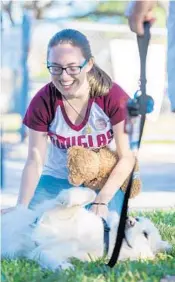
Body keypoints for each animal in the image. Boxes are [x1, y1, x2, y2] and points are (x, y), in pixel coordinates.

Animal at [1, 186, 171, 270]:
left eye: (145, 234)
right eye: (137, 219)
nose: (130, 220)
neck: (103, 237)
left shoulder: (46, 251)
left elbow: (47, 256)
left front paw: (63, 267)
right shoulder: (52, 208)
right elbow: (88, 194)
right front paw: (69, 199)